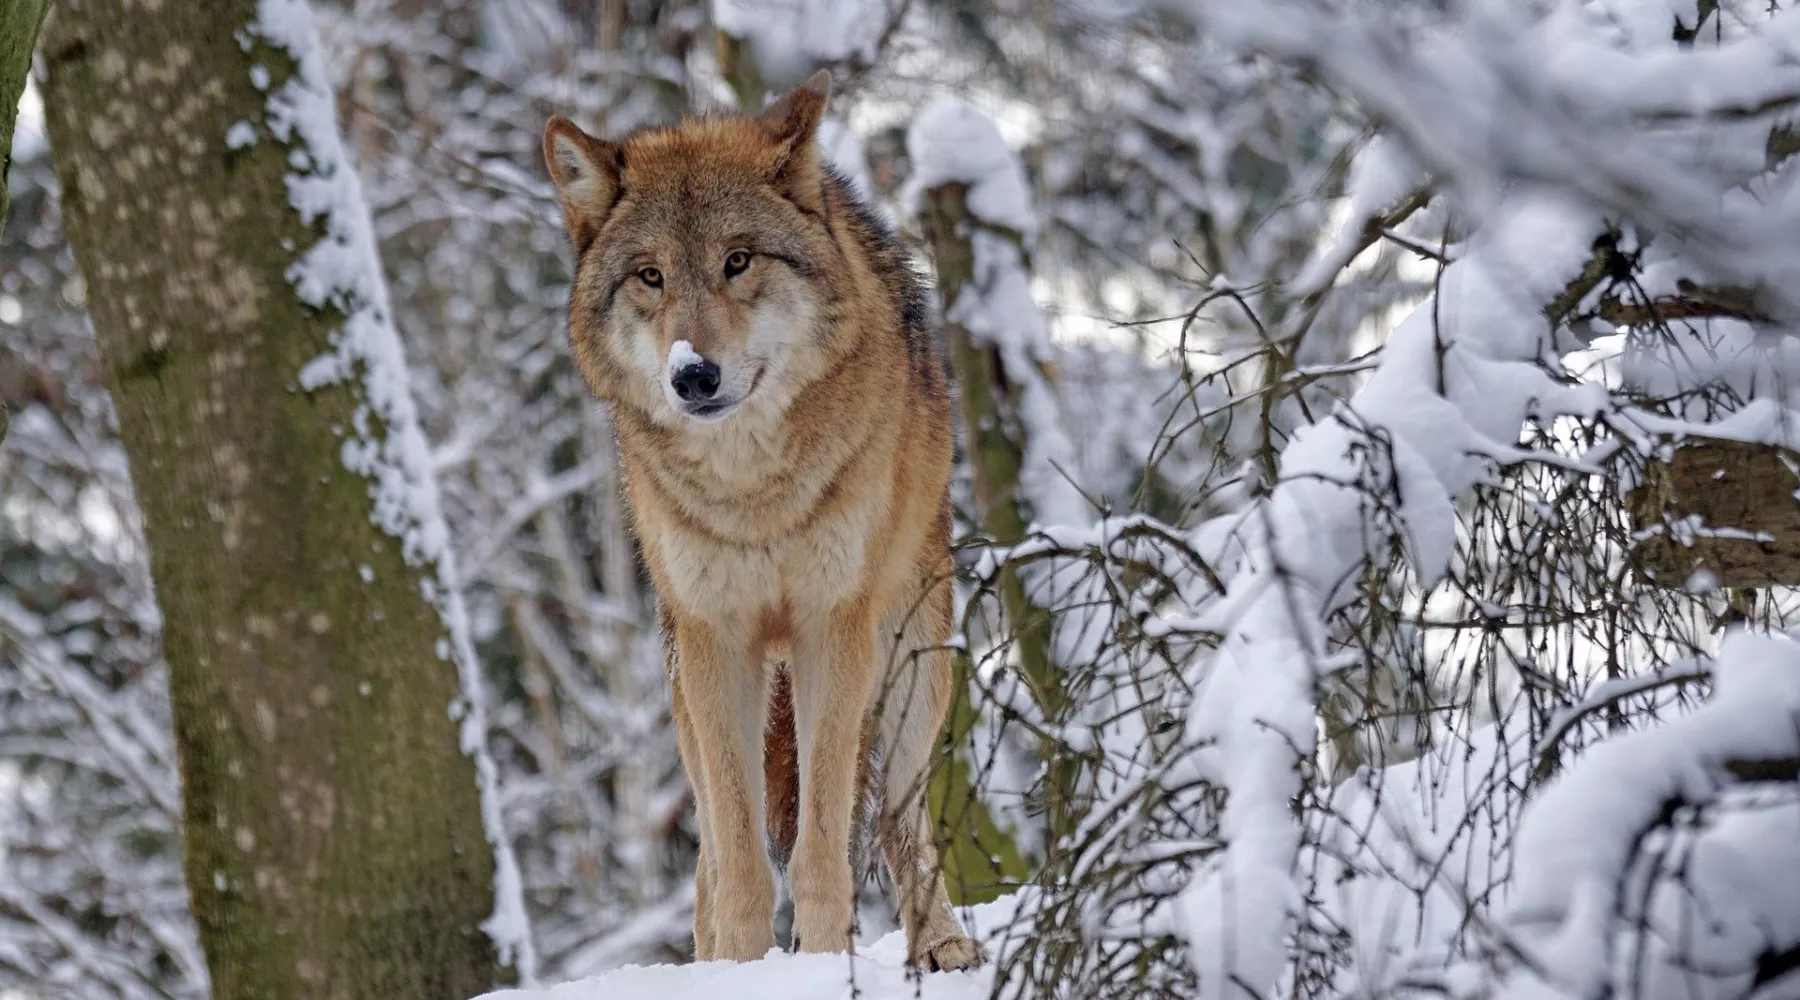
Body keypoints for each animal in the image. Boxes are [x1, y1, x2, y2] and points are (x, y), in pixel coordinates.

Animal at [540, 74, 986, 971]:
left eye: (737, 261)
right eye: (650, 276)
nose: (693, 375)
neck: (754, 494)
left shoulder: (830, 627)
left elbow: (821, 843)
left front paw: (820, 959)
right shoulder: (717, 642)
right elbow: (741, 858)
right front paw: (741, 969)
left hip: (913, 669)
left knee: (899, 819)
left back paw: (940, 946)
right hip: (685, 693)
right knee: (710, 859)